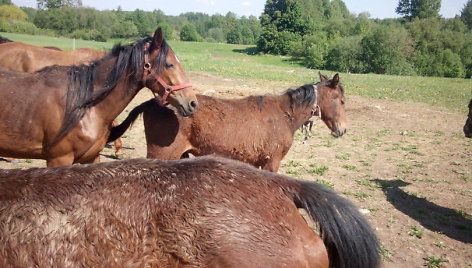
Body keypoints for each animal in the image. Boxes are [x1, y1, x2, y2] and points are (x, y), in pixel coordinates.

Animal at [0, 26, 198, 165]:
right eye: (169, 64)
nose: (193, 103)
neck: (82, 104)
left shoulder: (91, 157)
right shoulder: (58, 159)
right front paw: (119, 151)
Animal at [109, 72, 346, 171]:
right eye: (342, 100)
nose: (342, 130)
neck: (283, 114)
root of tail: (152, 102)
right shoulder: (272, 162)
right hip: (163, 154)